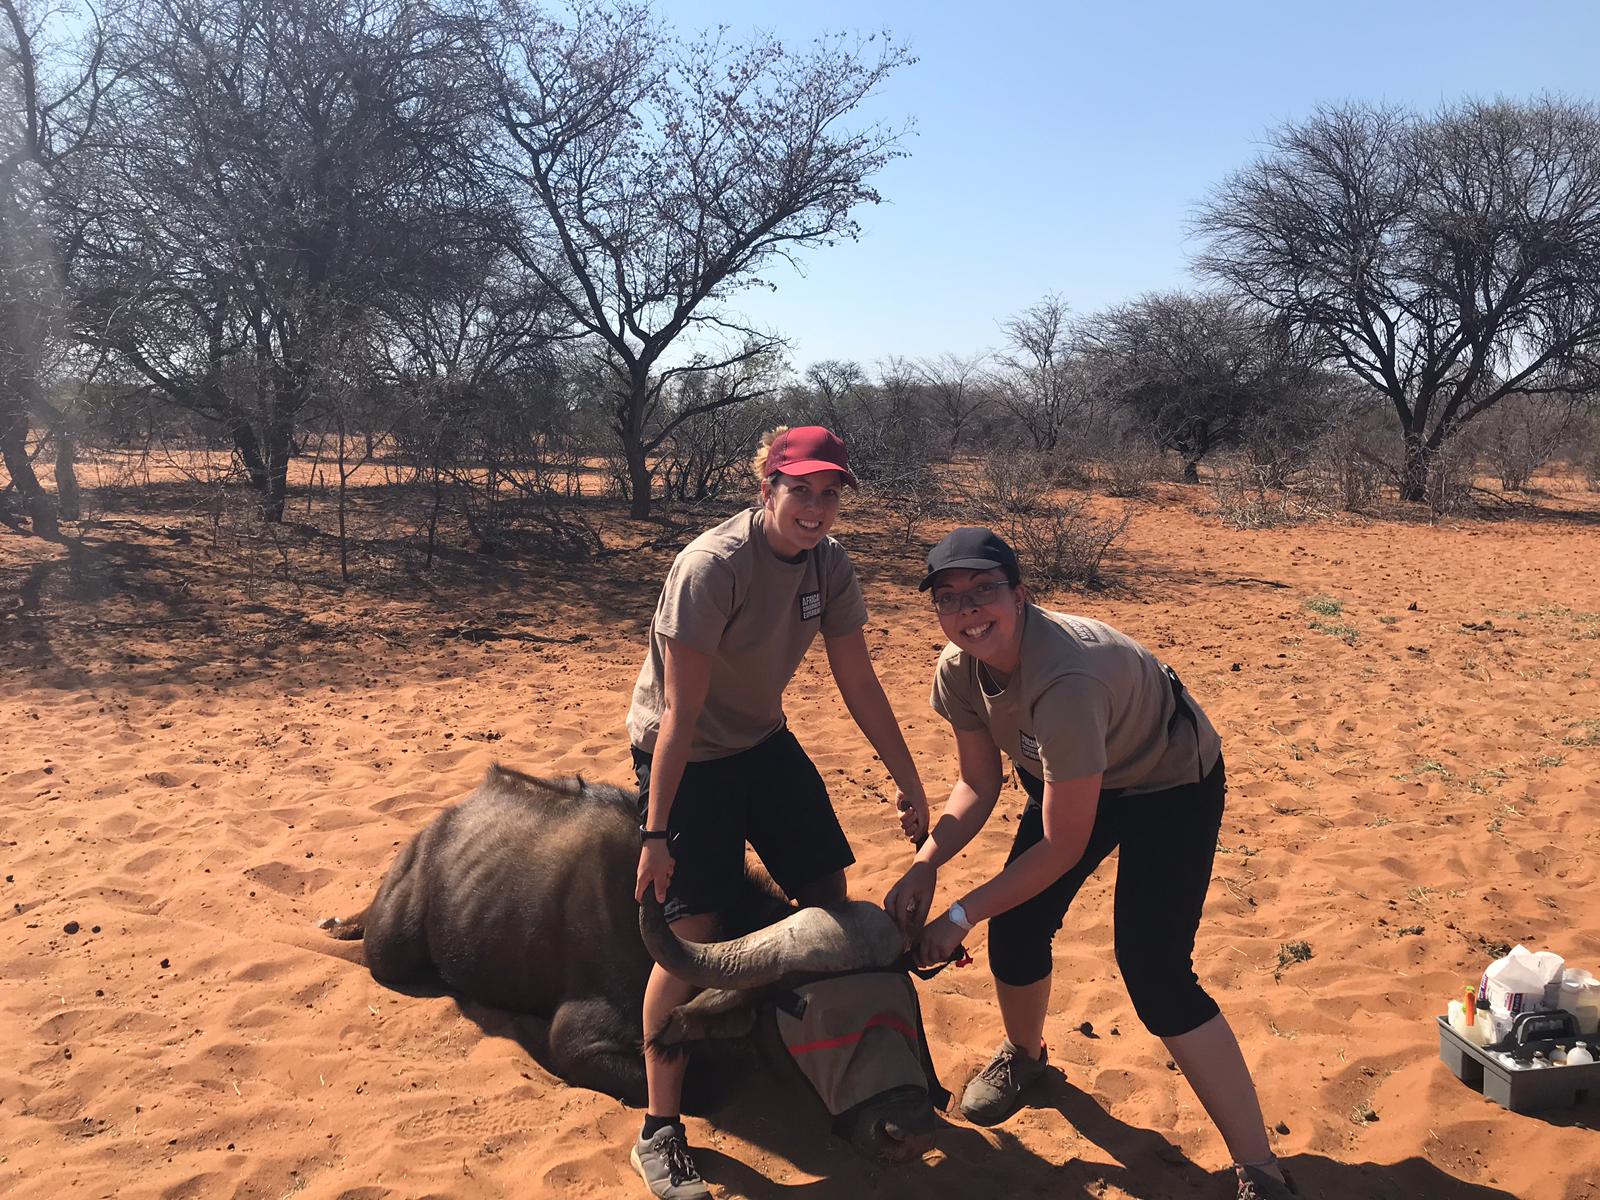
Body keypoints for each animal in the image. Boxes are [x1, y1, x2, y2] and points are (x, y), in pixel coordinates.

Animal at [325, 765, 942, 1162]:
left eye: (904, 1002)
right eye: (801, 1009)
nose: (908, 1130)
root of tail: (439, 827)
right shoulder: (581, 1039)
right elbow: (701, 1083)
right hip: (393, 948)